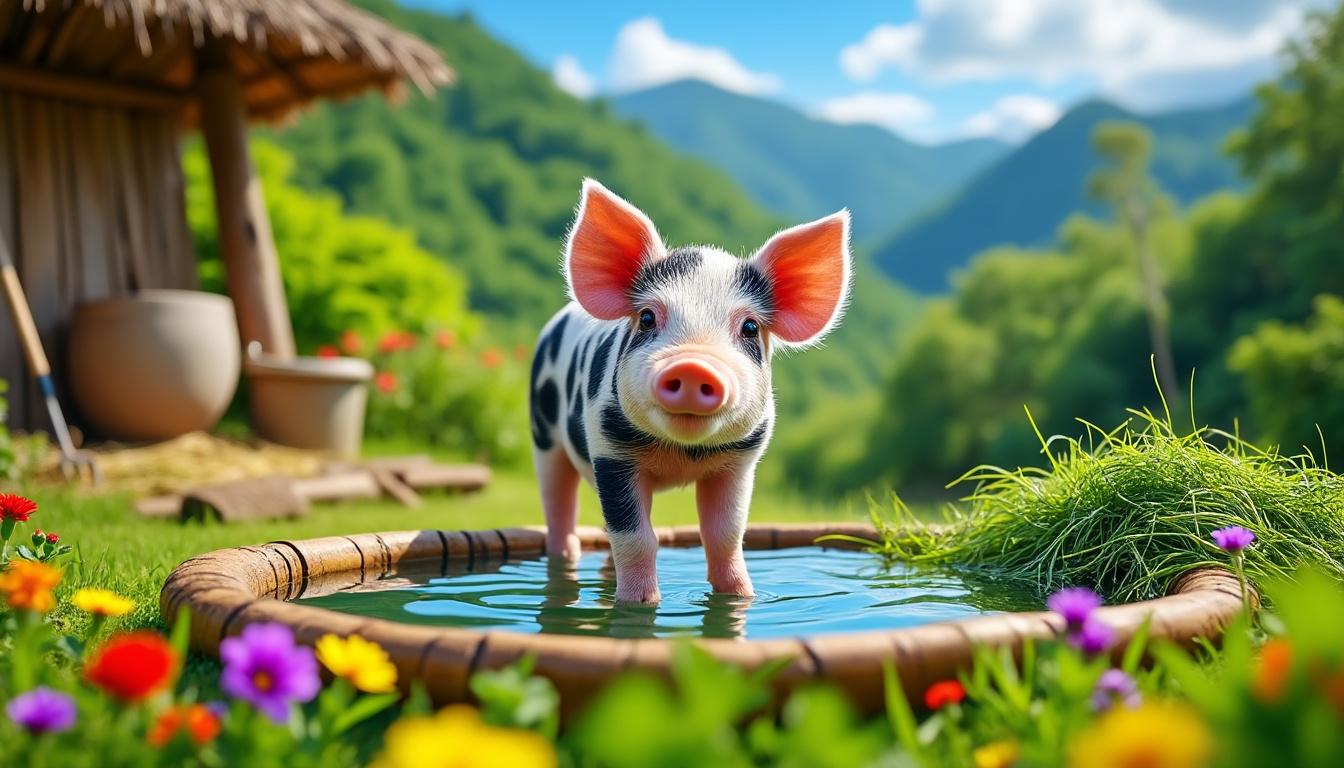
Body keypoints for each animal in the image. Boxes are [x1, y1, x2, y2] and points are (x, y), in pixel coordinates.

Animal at [530, 179, 851, 603]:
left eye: (750, 327)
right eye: (647, 317)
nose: (693, 365)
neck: (682, 454)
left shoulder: (741, 460)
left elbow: (725, 534)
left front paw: (741, 596)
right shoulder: (609, 449)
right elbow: (635, 536)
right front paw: (638, 603)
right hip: (543, 431)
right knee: (557, 503)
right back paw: (565, 558)